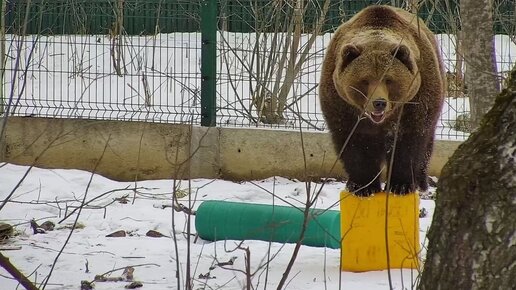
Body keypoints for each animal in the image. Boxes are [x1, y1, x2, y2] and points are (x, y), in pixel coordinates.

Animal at [318, 5, 444, 195]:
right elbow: (355, 143)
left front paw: (401, 184)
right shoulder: (341, 105)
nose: (379, 103)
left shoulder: (416, 101)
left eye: (389, 79)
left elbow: (409, 142)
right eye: (365, 80)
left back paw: (421, 181)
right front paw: (363, 186)